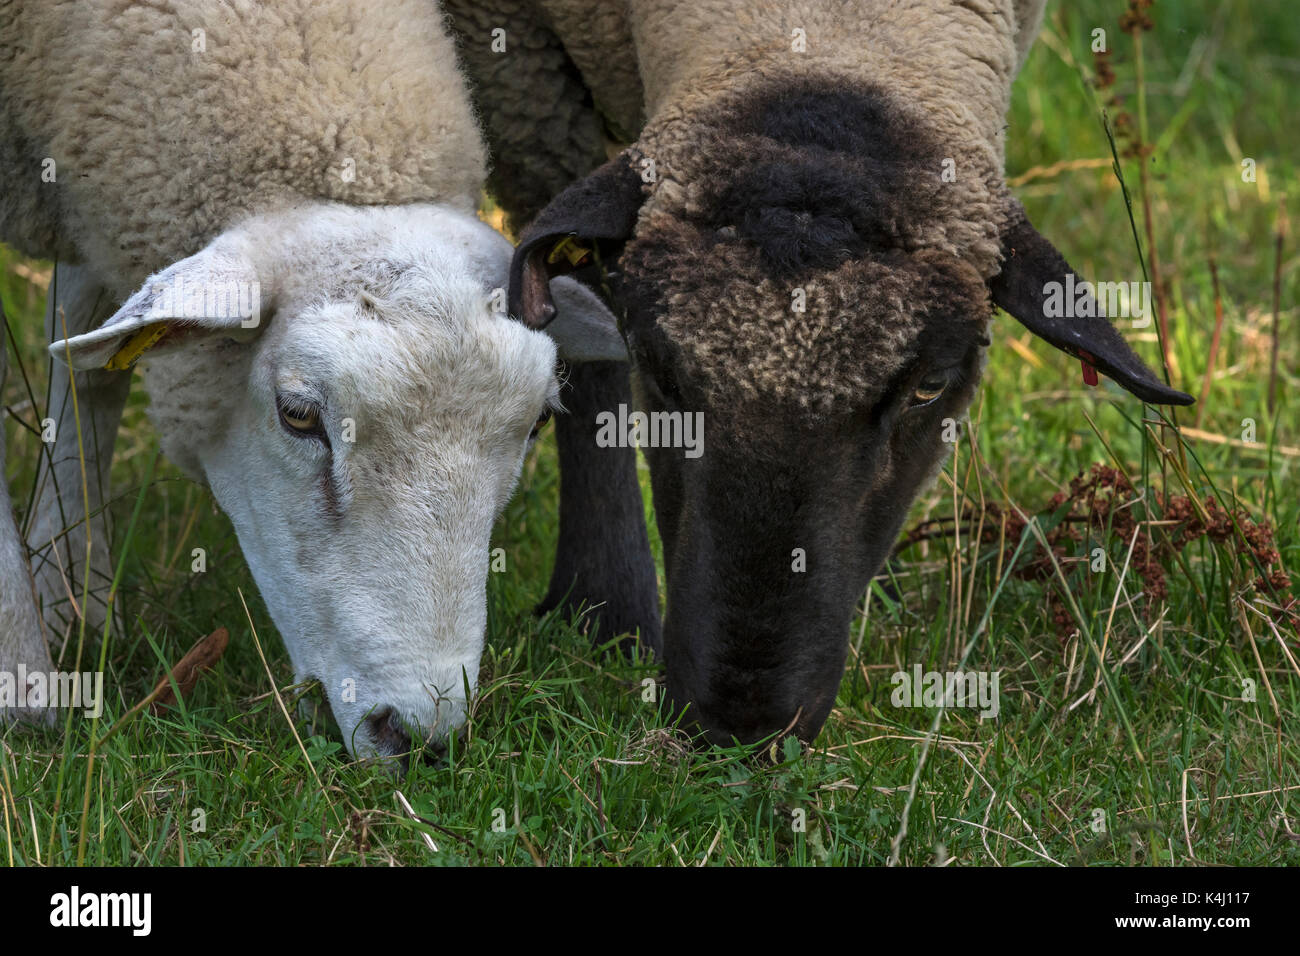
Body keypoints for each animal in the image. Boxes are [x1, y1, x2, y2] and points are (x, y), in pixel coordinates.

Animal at [0, 1, 624, 764]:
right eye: (297, 414)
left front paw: (75, 606)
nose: (417, 733)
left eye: (537, 421)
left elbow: (85, 358)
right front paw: (23, 675)